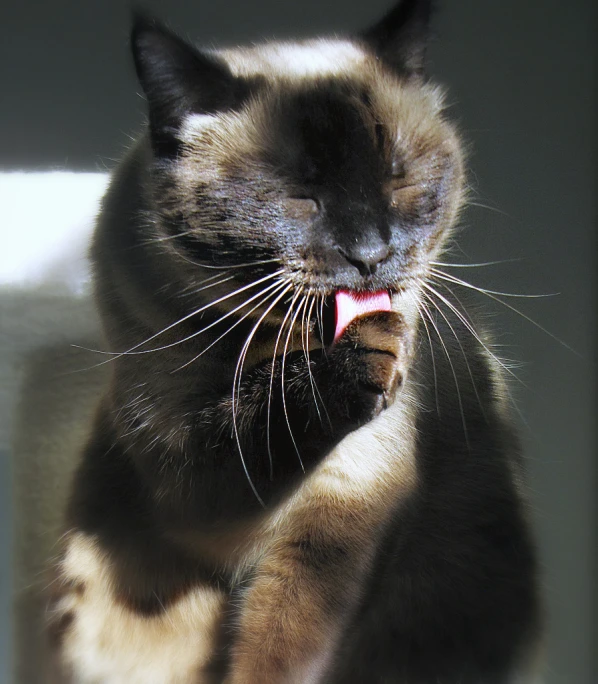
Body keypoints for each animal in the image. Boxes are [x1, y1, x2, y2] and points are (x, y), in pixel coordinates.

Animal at [47, 1, 544, 684]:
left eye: (398, 185)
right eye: (300, 197)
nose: (371, 255)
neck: (270, 341)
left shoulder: (344, 507)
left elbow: (282, 650)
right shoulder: (181, 458)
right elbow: (256, 410)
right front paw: (356, 355)